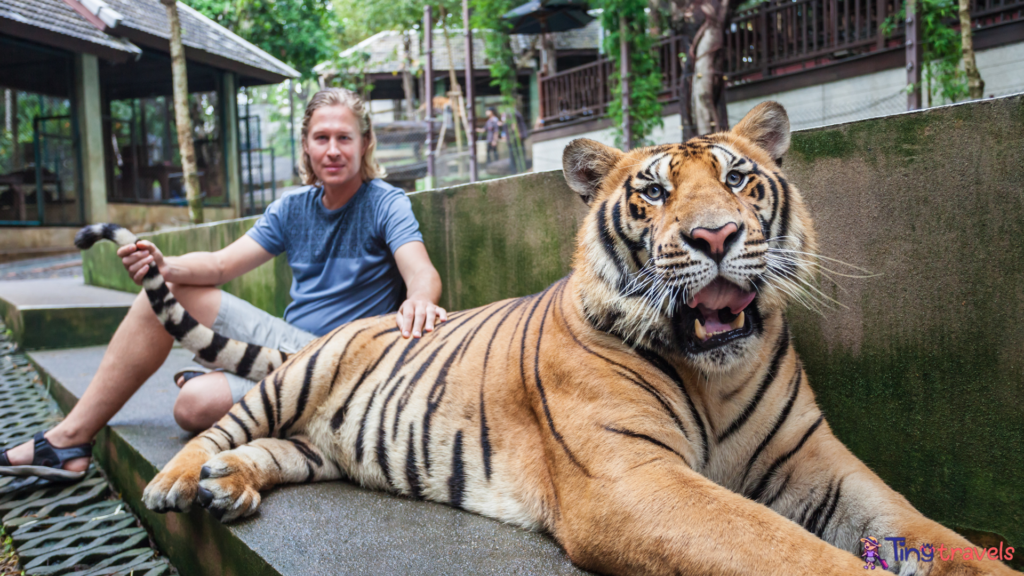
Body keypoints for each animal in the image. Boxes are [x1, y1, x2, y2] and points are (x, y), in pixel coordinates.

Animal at [75, 103, 1019, 573]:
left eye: (740, 179)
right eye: (652, 194)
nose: (715, 235)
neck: (714, 372)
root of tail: (332, 332)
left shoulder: (818, 466)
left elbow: (930, 533)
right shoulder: (634, 480)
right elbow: (789, 553)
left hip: (326, 443)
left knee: (273, 450)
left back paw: (231, 488)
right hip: (298, 379)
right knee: (223, 425)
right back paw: (182, 480)